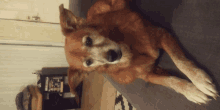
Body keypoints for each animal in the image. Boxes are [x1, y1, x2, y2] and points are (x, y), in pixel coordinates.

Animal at [58, 0, 218, 104]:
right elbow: (171, 82)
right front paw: (191, 91)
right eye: (89, 63)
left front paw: (199, 80)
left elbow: (180, 61)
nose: (111, 56)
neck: (130, 51)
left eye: (88, 41)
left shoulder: (161, 34)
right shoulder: (147, 76)